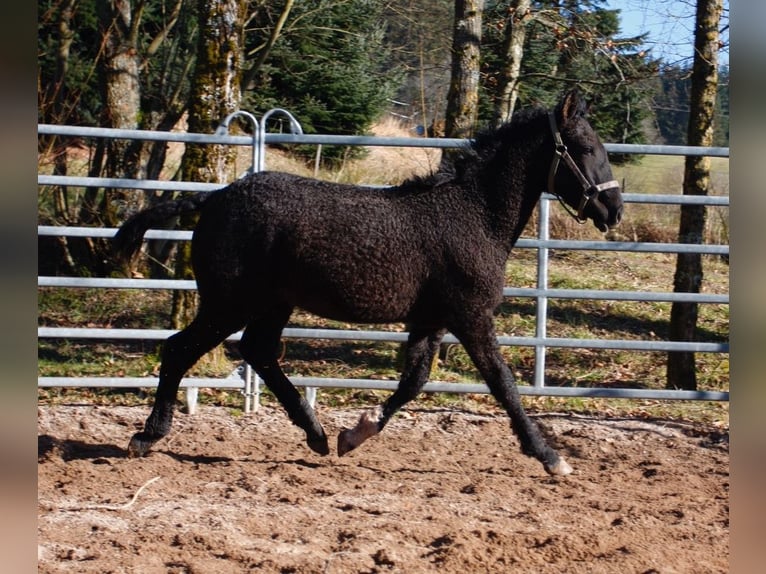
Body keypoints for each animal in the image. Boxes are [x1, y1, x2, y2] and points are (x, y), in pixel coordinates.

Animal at [117, 90, 628, 476]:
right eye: (585, 148)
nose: (615, 210)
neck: (473, 215)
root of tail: (214, 198)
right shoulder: (471, 316)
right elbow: (503, 385)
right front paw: (550, 457)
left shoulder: (431, 320)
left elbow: (414, 382)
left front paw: (353, 434)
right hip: (229, 302)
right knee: (180, 349)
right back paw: (147, 436)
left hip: (272, 304)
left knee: (258, 351)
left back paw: (317, 434)